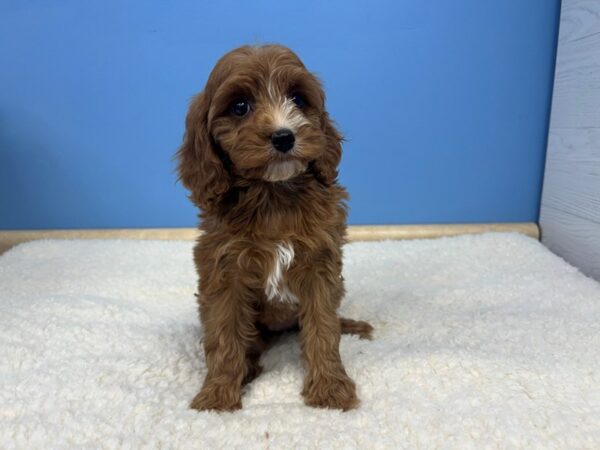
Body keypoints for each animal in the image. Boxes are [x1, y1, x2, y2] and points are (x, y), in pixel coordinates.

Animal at [176, 44, 372, 412]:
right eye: (240, 106)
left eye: (297, 98)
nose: (284, 137)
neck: (273, 194)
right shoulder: (223, 269)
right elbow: (224, 334)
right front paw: (217, 395)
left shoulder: (320, 263)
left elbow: (323, 328)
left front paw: (330, 388)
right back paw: (249, 366)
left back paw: (350, 324)